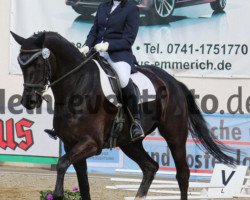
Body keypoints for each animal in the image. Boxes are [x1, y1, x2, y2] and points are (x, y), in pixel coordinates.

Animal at [10, 31, 236, 200]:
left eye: (39, 64)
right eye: (20, 64)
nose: (29, 101)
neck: (77, 85)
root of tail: (173, 82)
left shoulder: (91, 144)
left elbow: (61, 164)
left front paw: (57, 194)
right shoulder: (70, 144)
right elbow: (83, 184)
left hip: (174, 136)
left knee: (182, 175)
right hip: (129, 142)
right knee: (150, 167)